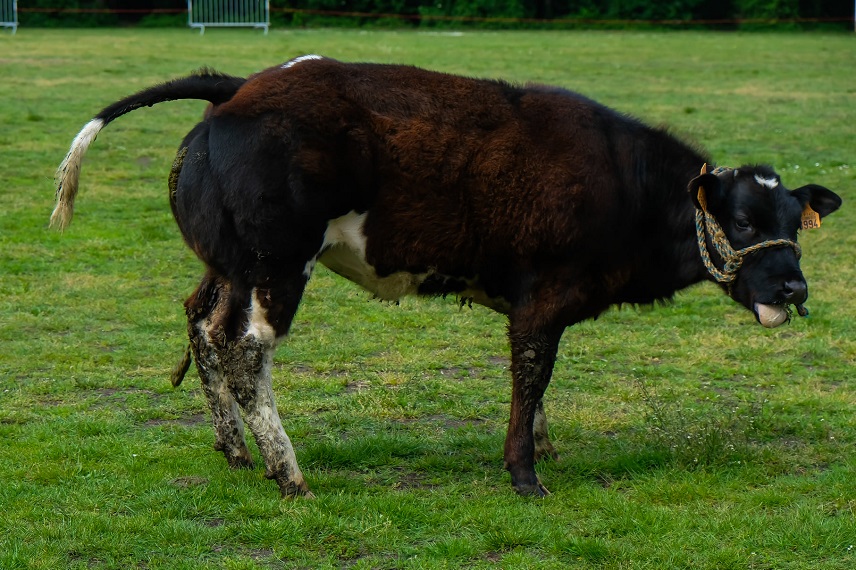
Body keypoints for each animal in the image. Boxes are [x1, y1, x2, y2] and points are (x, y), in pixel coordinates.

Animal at [53, 55, 844, 494]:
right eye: (742, 222)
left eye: (794, 222)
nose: (795, 289)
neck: (628, 188)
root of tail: (242, 89)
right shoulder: (543, 300)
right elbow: (531, 376)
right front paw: (524, 473)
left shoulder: (524, 301)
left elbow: (536, 385)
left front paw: (543, 445)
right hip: (278, 268)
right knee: (246, 350)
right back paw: (288, 472)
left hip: (230, 265)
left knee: (203, 326)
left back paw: (236, 451)